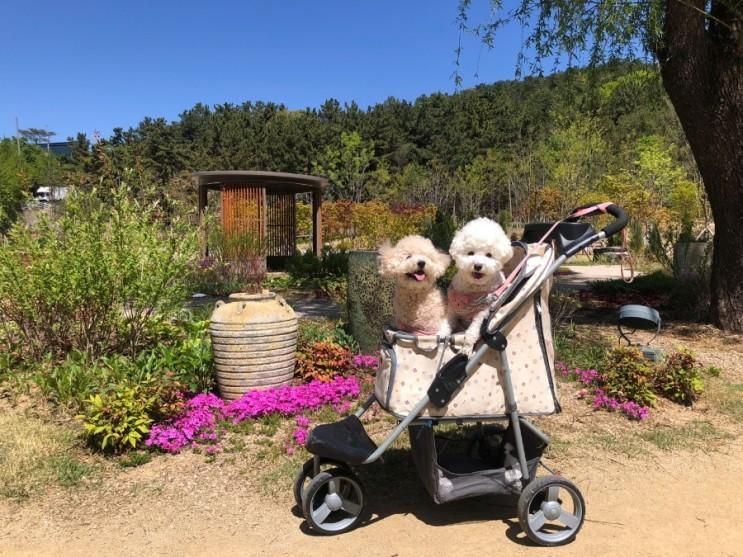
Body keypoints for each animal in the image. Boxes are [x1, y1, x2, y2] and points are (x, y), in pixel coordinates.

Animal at [444, 217, 516, 356]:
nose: (477, 266)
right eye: (470, 253)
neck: (474, 288)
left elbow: (472, 332)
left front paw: (466, 349)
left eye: (489, 255)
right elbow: (446, 323)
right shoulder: (453, 308)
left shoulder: (482, 312)